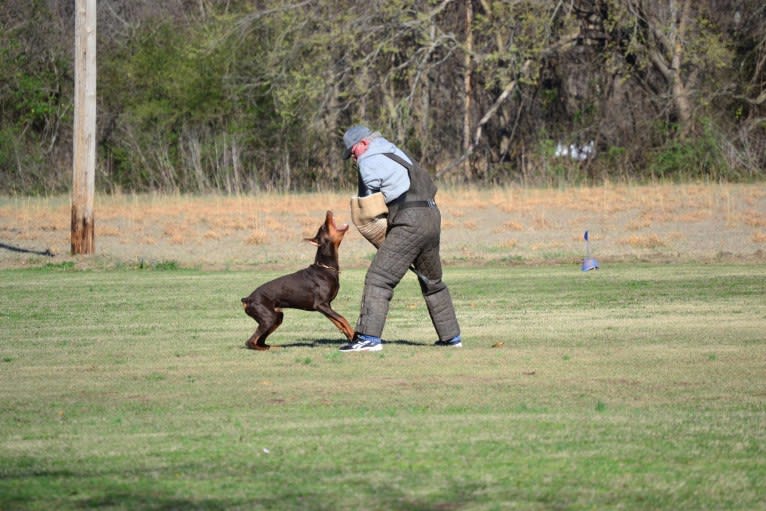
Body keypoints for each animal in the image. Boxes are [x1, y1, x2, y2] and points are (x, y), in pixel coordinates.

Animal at [242, 210, 356, 350]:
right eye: (323, 227)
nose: (328, 211)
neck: (325, 268)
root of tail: (247, 299)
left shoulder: (327, 306)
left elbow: (338, 322)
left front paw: (349, 336)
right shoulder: (321, 304)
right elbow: (342, 318)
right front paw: (354, 335)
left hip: (277, 317)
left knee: (261, 340)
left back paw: (274, 347)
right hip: (268, 317)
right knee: (250, 341)